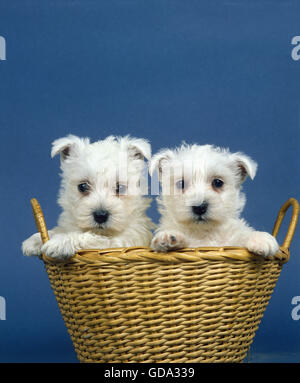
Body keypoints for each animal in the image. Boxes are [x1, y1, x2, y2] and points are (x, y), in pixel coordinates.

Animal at [22, 134, 155, 260]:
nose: (100, 216)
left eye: (119, 188)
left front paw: (60, 242)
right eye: (83, 186)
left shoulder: (120, 242)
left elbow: (88, 237)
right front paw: (34, 241)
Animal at [151, 144, 280, 258]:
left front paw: (260, 238)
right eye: (181, 183)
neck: (204, 233)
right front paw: (168, 237)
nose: (199, 207)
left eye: (218, 182)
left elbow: (241, 235)